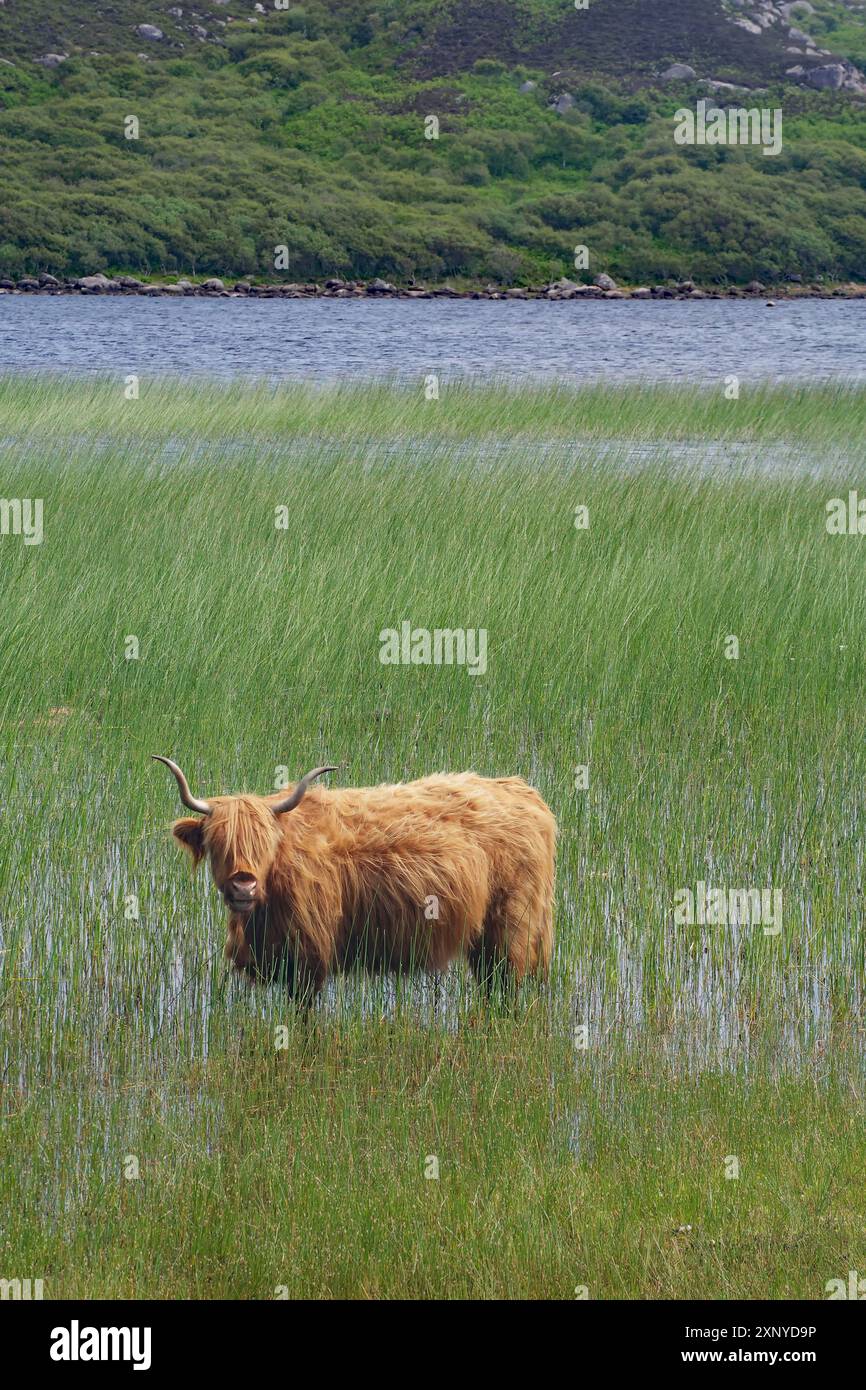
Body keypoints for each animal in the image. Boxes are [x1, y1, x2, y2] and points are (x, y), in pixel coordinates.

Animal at [153, 756, 556, 1001]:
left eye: (266, 843)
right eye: (217, 843)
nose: (243, 884)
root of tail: (526, 794)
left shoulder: (309, 958)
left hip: (513, 926)